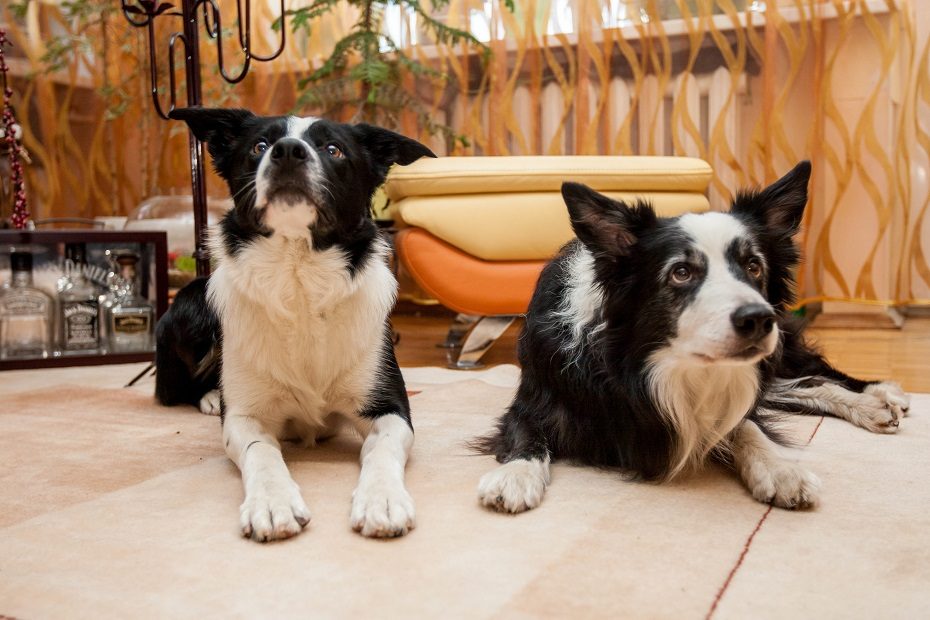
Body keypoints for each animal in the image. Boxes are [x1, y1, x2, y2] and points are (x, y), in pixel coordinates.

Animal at [156, 108, 436, 544]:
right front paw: (273, 503)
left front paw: (383, 499)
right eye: (259, 145)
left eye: (333, 149)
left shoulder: (389, 409)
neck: (299, 277)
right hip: (190, 308)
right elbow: (261, 450)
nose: (288, 151)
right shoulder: (244, 418)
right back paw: (210, 396)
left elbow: (383, 450)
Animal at [478, 161, 908, 512]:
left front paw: (780, 469)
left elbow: (748, 425)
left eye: (753, 266)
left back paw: (879, 396)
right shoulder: (535, 402)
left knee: (811, 375)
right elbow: (525, 438)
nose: (758, 319)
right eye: (681, 272)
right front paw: (513, 477)